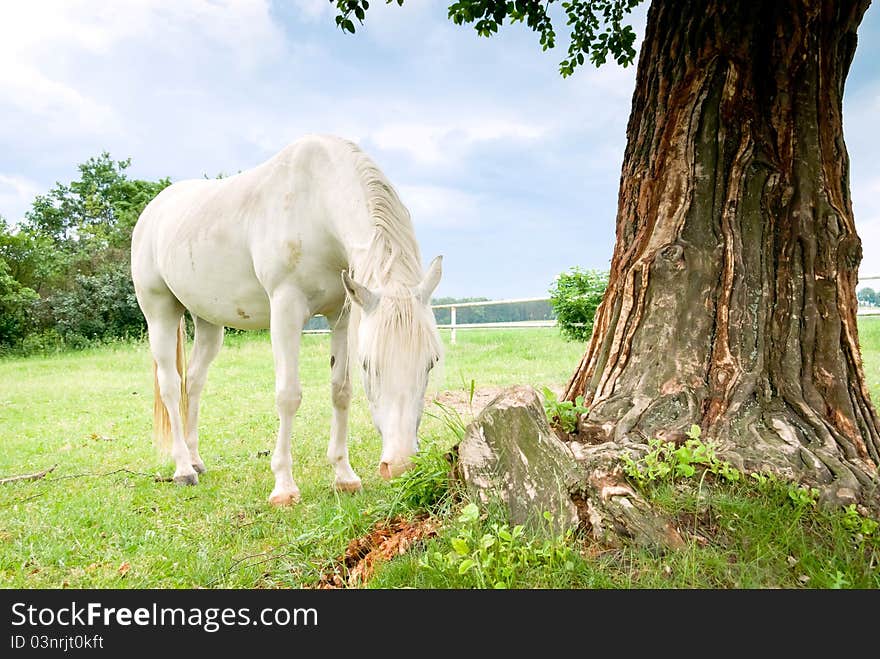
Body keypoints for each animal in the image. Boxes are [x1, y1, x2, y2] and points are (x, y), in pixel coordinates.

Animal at [131, 134, 444, 506]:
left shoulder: (341, 314)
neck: (315, 203)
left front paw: (344, 476)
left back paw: (195, 459)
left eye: (430, 363)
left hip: (208, 321)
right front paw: (283, 487)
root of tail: (153, 210)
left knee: (192, 381)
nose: (399, 464)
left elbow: (340, 391)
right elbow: (288, 395)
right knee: (169, 383)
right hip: (159, 311)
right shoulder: (286, 309)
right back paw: (183, 469)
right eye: (369, 364)